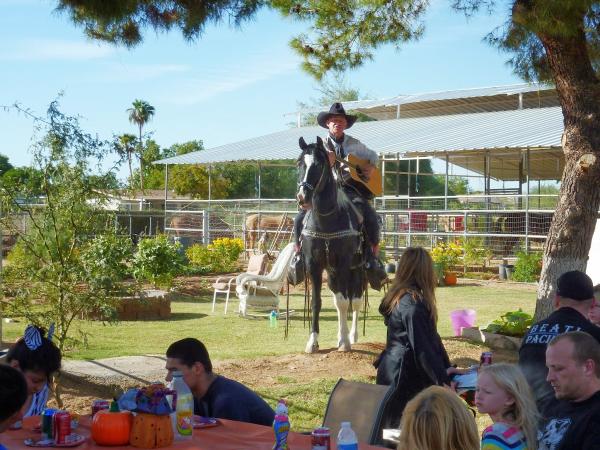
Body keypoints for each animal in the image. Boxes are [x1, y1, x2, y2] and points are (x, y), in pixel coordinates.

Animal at [296, 135, 366, 354]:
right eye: (299, 163)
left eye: (318, 165)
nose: (302, 197)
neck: (327, 220)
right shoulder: (315, 265)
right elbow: (317, 303)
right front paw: (312, 342)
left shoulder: (343, 264)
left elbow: (345, 303)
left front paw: (345, 342)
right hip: (333, 272)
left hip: (357, 269)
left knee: (356, 300)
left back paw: (352, 335)